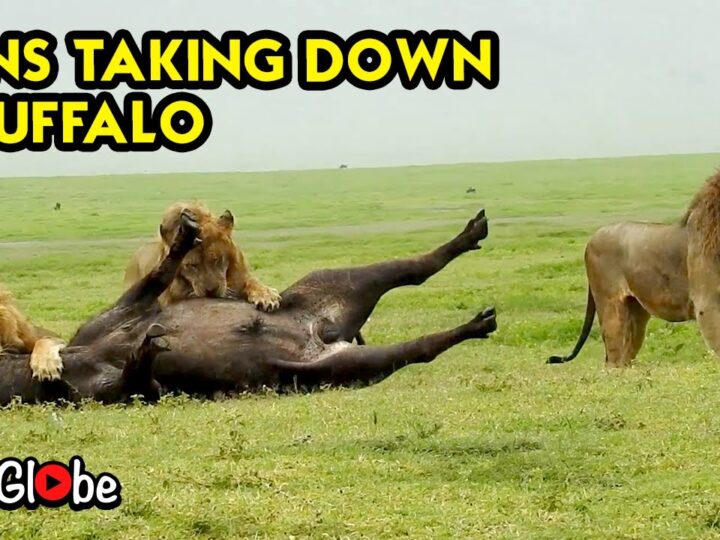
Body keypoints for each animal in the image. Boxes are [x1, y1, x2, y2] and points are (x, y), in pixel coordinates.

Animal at [549, 168, 720, 367]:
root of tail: (591, 240)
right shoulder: (706, 305)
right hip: (610, 307)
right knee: (612, 361)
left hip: (636, 313)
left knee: (625, 358)